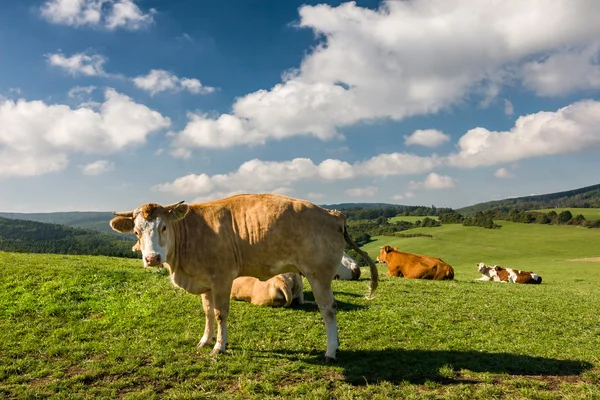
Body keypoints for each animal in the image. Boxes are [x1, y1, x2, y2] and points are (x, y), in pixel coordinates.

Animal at [110, 192, 378, 360]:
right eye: (136, 232)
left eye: (163, 227)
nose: (152, 258)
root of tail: (333, 214)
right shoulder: (205, 282)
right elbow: (207, 313)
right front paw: (205, 340)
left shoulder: (222, 278)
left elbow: (220, 314)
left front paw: (219, 347)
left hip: (319, 274)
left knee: (328, 309)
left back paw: (331, 351)